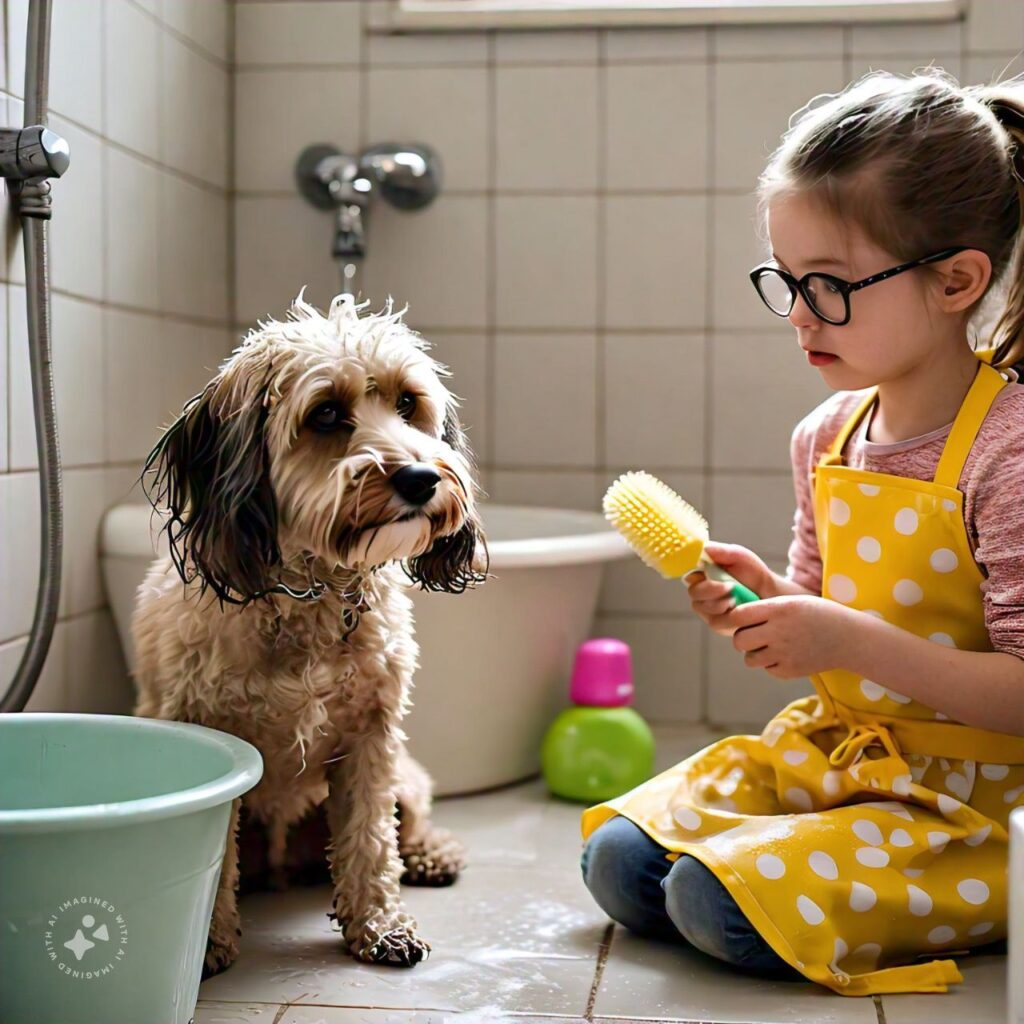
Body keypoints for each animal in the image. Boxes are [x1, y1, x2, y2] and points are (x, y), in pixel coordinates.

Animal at [131, 292, 487, 970]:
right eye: (325, 413)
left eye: (409, 404)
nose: (422, 479)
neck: (312, 590)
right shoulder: (205, 728)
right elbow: (216, 861)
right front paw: (207, 944)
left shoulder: (371, 740)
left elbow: (371, 841)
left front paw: (379, 926)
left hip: (406, 777)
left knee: (407, 824)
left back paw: (433, 854)